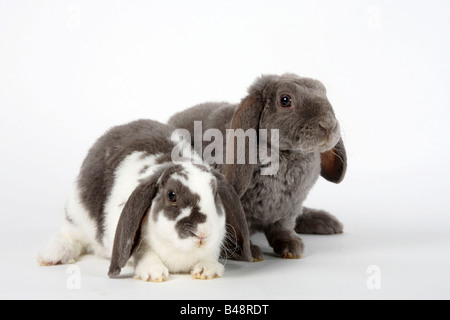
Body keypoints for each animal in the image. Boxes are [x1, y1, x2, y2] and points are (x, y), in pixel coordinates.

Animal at [169, 73, 348, 260]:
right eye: (285, 100)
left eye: (324, 92)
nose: (328, 125)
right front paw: (251, 253)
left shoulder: (288, 211)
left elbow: (282, 228)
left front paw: (291, 247)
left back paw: (328, 223)